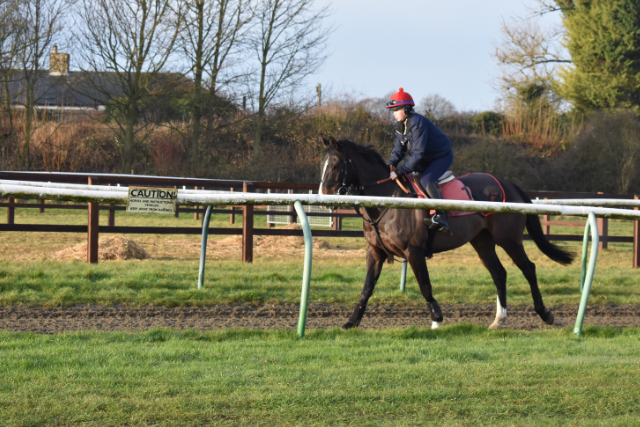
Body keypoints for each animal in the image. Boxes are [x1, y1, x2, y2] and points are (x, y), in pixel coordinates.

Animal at [320, 137, 576, 332]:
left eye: (335, 164)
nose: (323, 197)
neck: (387, 200)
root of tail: (509, 185)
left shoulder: (414, 251)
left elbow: (425, 285)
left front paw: (436, 318)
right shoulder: (375, 252)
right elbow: (366, 288)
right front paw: (351, 322)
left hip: (509, 239)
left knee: (528, 268)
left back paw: (545, 314)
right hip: (482, 242)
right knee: (499, 273)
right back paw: (498, 319)